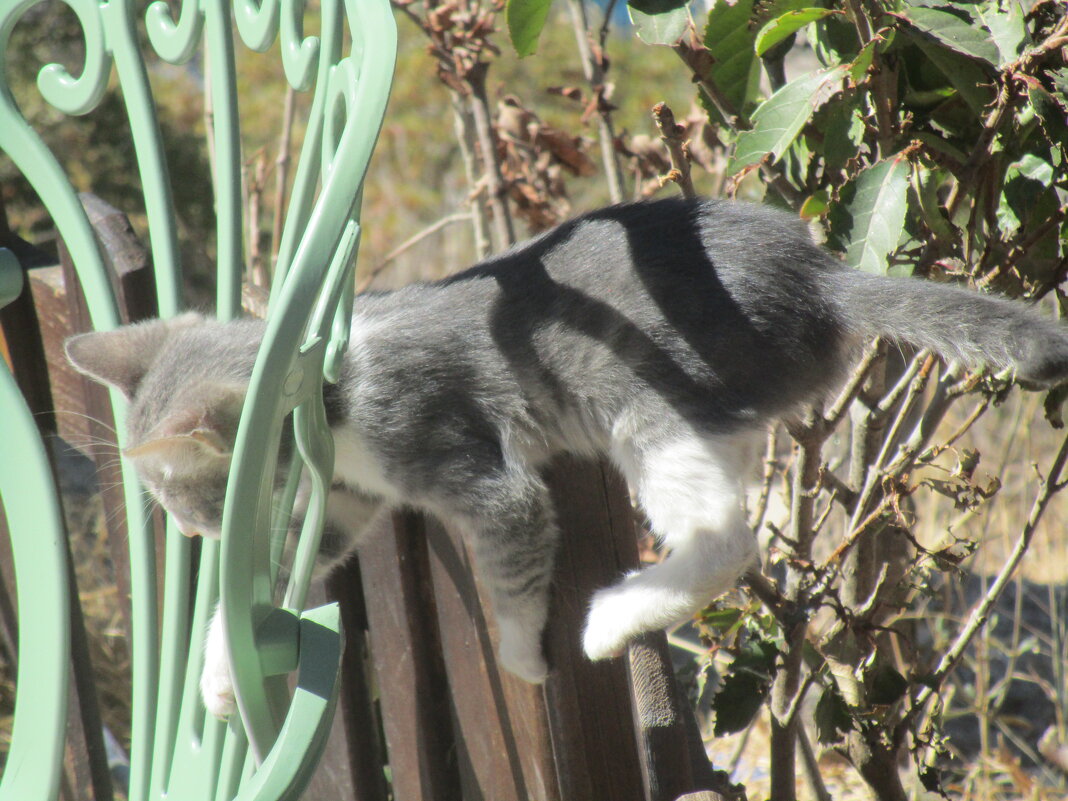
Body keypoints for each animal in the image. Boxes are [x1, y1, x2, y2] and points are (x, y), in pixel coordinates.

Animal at [64, 197, 1068, 717]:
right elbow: (277, 573)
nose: (191, 531)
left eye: (185, 499)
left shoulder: (458, 457)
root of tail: (821, 274)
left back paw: (613, 619)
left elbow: (511, 555)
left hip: (638, 389)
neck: (329, 382)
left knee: (724, 537)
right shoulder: (339, 495)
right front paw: (219, 671)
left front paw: (519, 656)